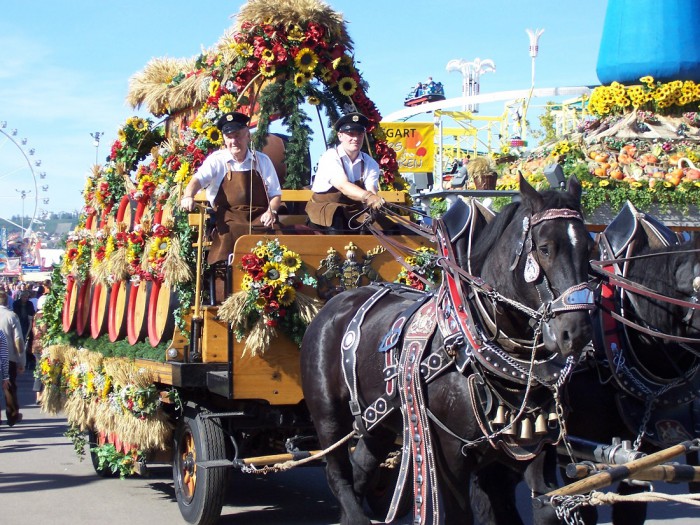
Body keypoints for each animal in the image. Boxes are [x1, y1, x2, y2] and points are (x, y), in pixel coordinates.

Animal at [300, 177, 596, 524]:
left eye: (589, 249)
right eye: (546, 248)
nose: (577, 331)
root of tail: (336, 303)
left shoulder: (534, 454)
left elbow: (546, 504)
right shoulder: (450, 454)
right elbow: (459, 514)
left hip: (378, 420)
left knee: (361, 469)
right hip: (328, 417)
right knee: (339, 476)